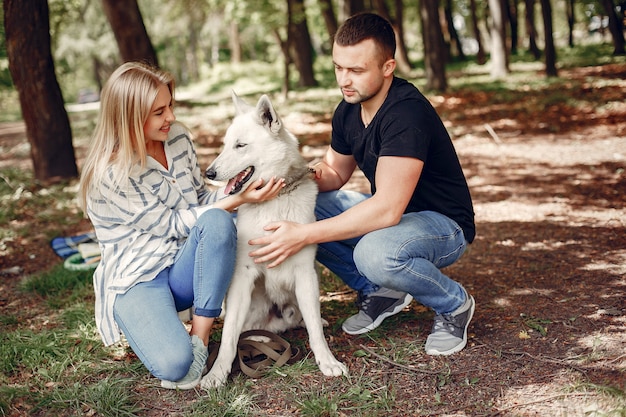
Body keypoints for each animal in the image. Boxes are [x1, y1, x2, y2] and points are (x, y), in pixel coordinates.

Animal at [200, 93, 346, 386]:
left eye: (240, 145)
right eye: (225, 145)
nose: (208, 173)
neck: (274, 202)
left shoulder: (305, 274)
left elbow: (315, 329)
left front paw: (327, 361)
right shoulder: (243, 276)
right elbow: (229, 336)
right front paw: (218, 372)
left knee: (305, 318)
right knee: (245, 327)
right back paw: (258, 337)